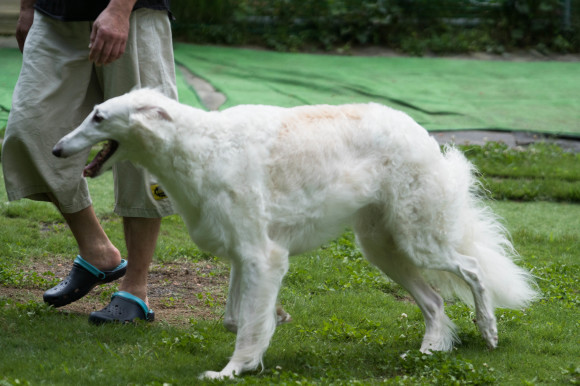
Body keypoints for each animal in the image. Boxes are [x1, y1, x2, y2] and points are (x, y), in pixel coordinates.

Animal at [54, 89, 540, 378]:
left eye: (98, 116)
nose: (57, 148)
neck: (200, 144)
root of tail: (420, 131)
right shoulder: (244, 254)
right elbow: (238, 317)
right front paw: (274, 324)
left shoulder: (263, 256)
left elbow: (247, 325)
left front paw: (234, 369)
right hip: (382, 247)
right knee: (436, 301)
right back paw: (430, 351)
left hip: (418, 239)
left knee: (473, 269)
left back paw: (488, 330)